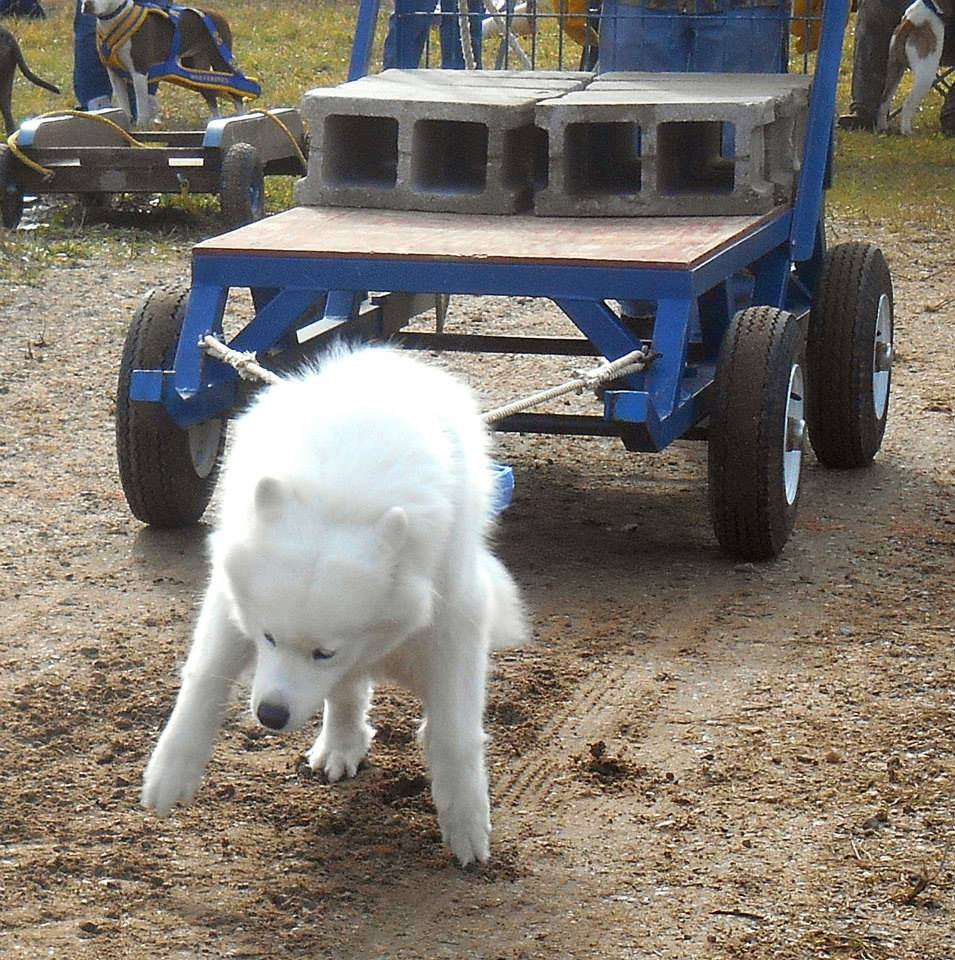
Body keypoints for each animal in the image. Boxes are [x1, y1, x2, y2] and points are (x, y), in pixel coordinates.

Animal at [81, 0, 258, 125]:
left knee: (237, 89)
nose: (87, 4)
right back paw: (216, 120)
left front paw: (141, 126)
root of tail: (219, 15)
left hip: (220, 58)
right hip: (195, 65)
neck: (114, 18)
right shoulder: (114, 73)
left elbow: (141, 103)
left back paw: (240, 118)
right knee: (210, 91)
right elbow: (123, 104)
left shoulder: (139, 70)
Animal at [142, 344, 532, 864]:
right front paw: (171, 772)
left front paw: (466, 823)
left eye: (323, 652)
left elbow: (455, 734)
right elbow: (203, 679)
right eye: (268, 638)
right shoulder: (230, 603)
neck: (343, 499)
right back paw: (341, 745)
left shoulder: (454, 623)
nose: (270, 716)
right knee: (346, 693)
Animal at [876, 0, 952, 135]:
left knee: (884, 100)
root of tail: (910, 22)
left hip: (896, 69)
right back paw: (907, 132)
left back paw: (883, 127)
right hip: (925, 77)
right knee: (907, 104)